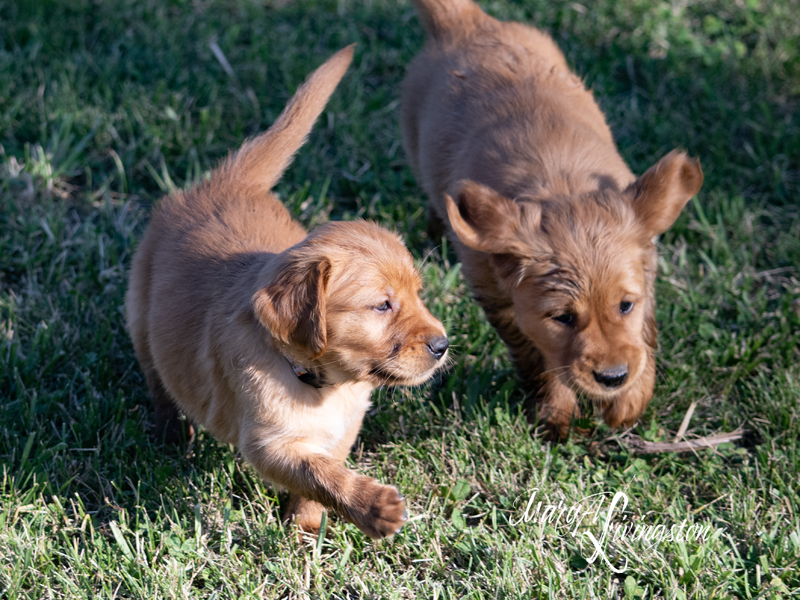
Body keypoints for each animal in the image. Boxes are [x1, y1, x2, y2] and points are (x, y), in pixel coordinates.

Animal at [128, 44, 446, 536]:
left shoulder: (342, 430)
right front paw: (375, 507)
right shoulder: (266, 441)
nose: (442, 346)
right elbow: (318, 471)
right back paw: (171, 437)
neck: (323, 382)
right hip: (140, 317)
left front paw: (304, 527)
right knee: (159, 381)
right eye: (382, 306)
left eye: (417, 294)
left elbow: (322, 472)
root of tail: (225, 182)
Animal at [400, 0, 700, 436]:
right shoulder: (497, 296)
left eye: (625, 305)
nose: (613, 378)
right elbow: (538, 358)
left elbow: (644, 334)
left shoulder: (645, 270)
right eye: (562, 317)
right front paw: (556, 414)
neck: (560, 187)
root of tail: (467, 24)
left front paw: (630, 399)